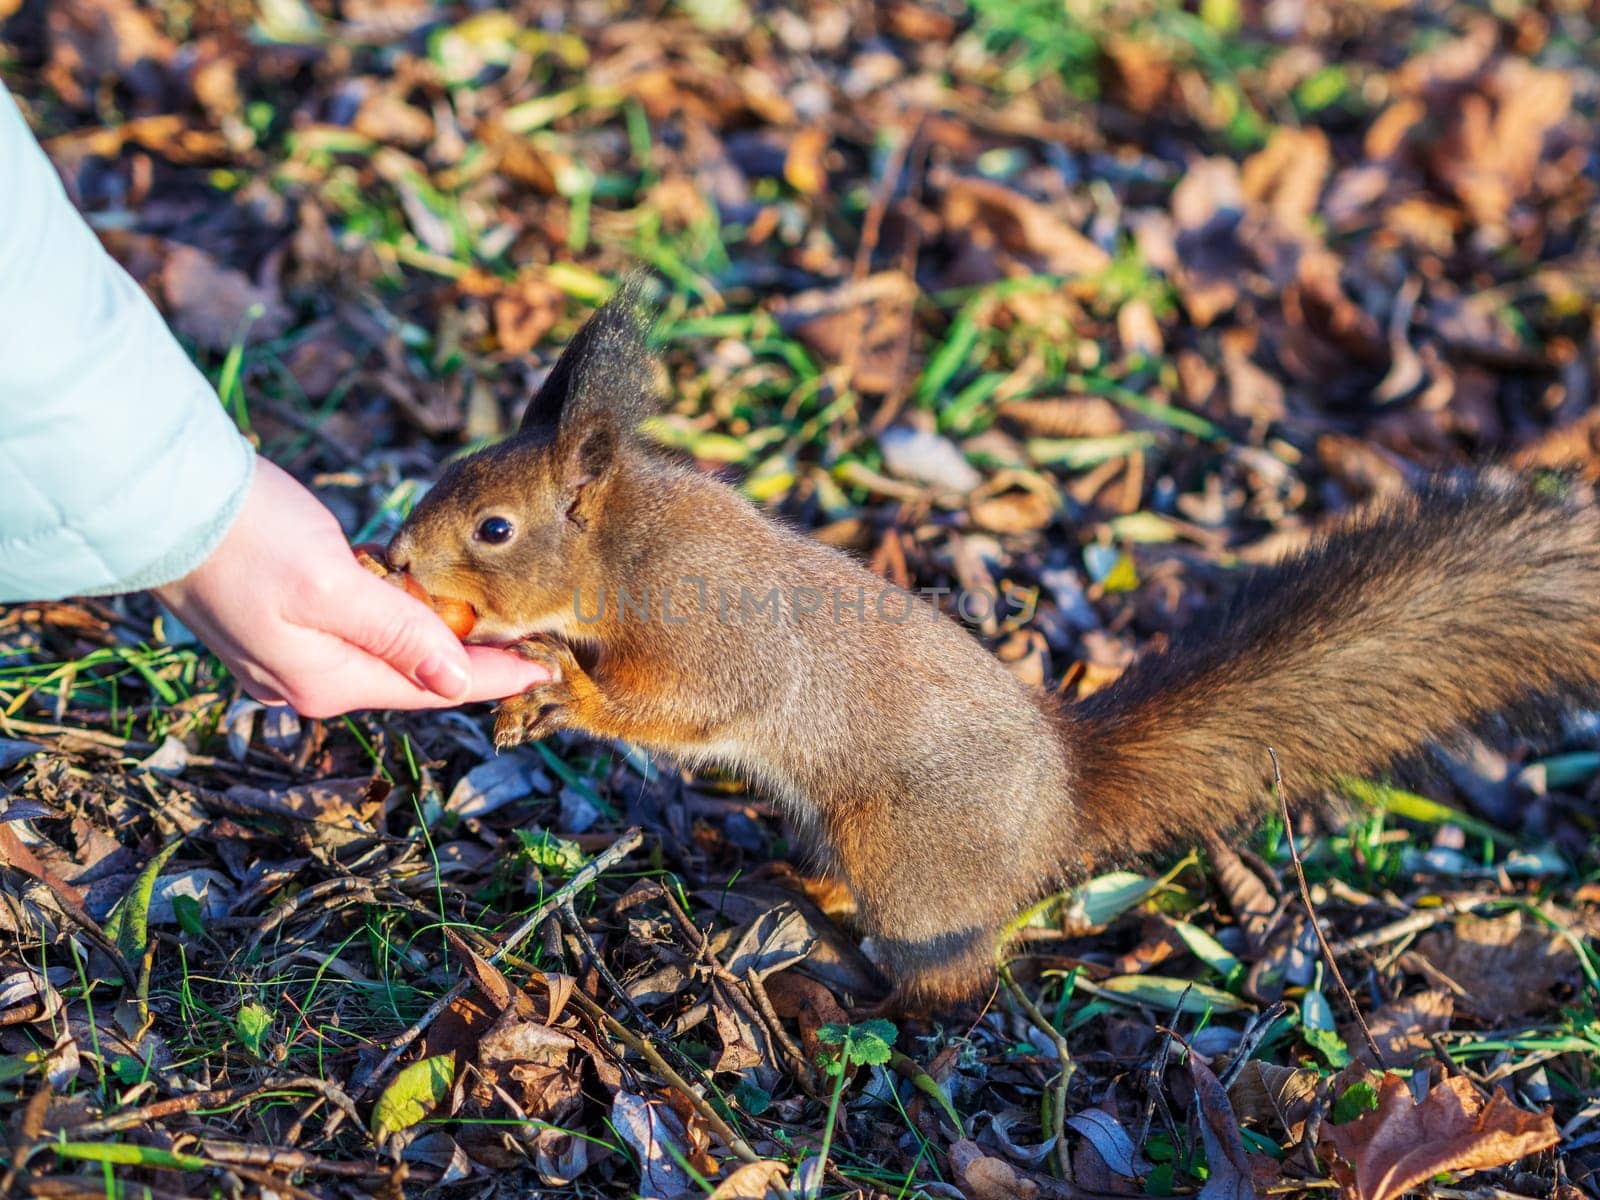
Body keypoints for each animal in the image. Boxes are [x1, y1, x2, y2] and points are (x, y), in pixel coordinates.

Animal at [387, 286, 1600, 1011]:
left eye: (493, 529)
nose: (393, 558)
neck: (622, 543)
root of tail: (1064, 801)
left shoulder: (711, 629)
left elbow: (684, 704)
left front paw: (562, 688)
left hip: (918, 871)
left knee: (960, 971)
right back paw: (800, 888)